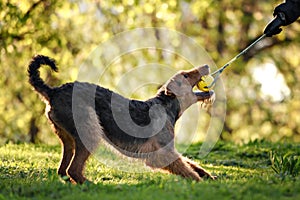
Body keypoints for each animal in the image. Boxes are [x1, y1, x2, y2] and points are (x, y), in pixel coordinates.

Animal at [28, 54, 216, 184]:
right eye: (185, 75)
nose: (206, 65)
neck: (166, 105)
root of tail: (53, 92)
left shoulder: (169, 151)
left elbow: (190, 164)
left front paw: (209, 176)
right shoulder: (161, 153)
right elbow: (185, 169)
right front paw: (200, 182)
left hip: (68, 138)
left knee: (63, 170)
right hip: (89, 133)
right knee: (72, 170)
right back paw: (92, 185)